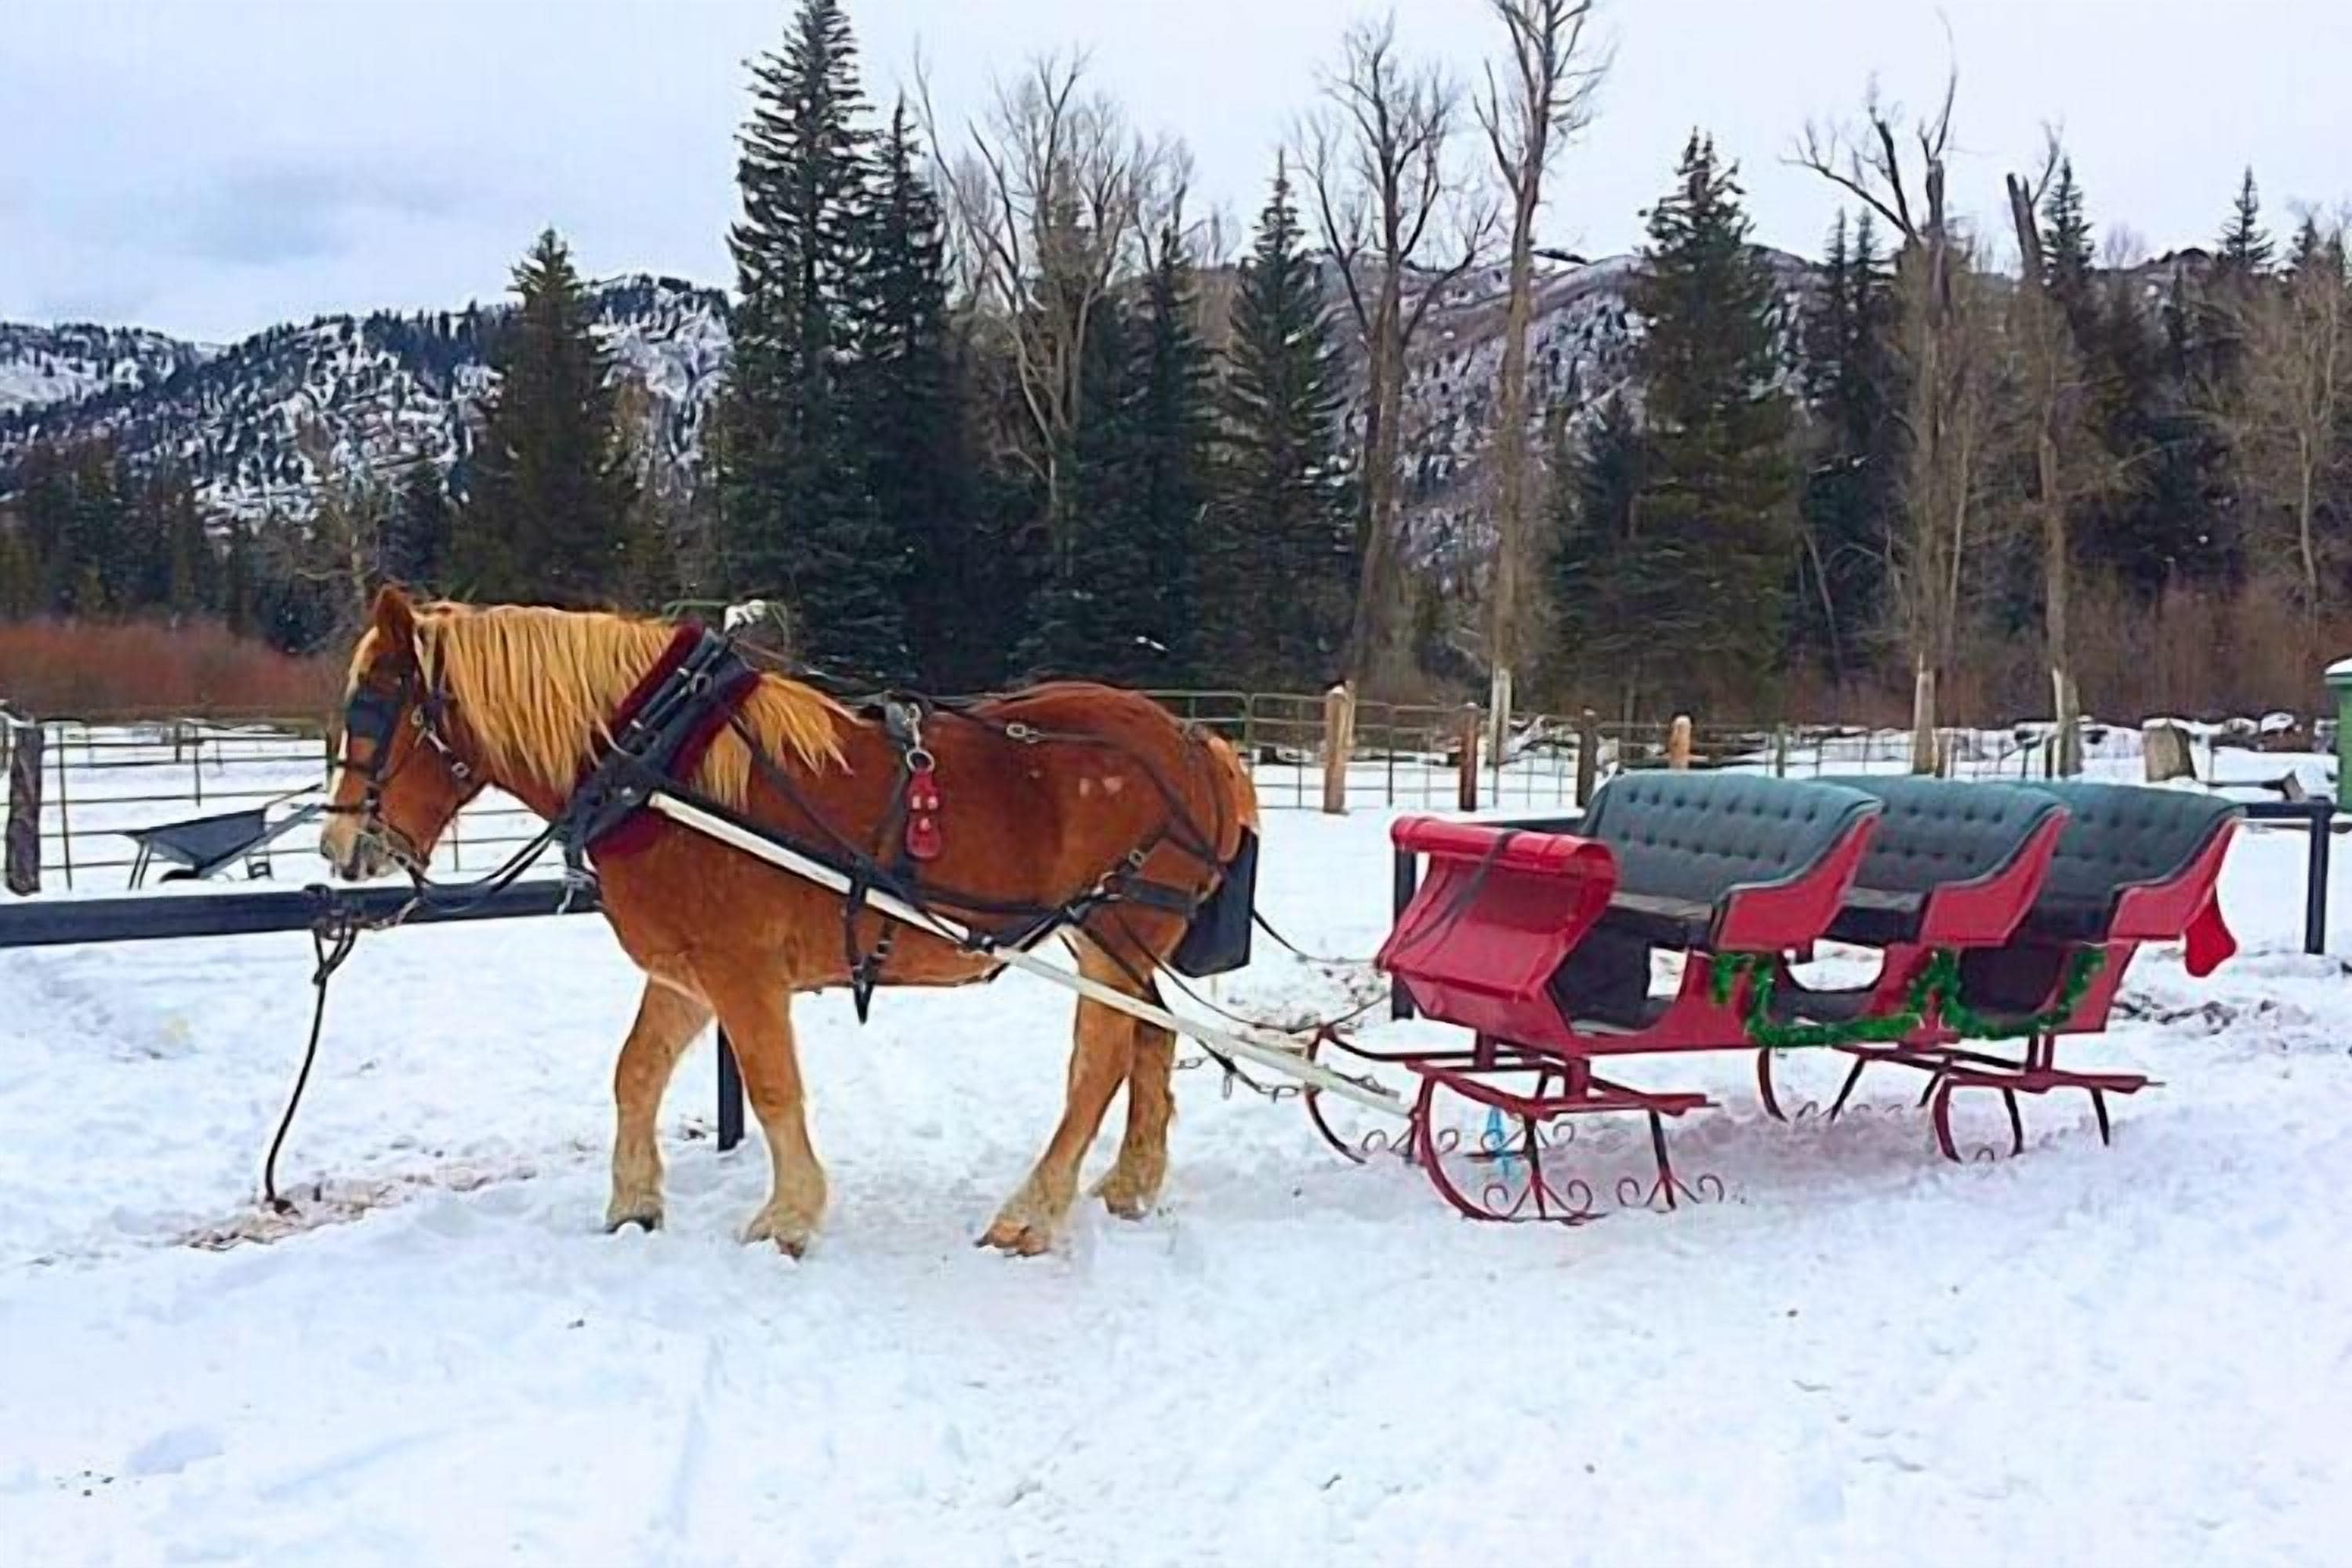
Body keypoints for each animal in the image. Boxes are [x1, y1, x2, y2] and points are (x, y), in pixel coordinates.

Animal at [318, 584, 1260, 1258]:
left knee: (1098, 1062)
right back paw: (1129, 1183)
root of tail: (1198, 742)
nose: (339, 846)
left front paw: (790, 1217)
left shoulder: (742, 972)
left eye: (374, 708)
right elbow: (636, 1073)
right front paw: (634, 1205)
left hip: (1114, 932)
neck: (658, 767)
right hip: (1121, 943)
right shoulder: (685, 972)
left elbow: (772, 1087)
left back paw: (1029, 1212)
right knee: (1150, 1040)